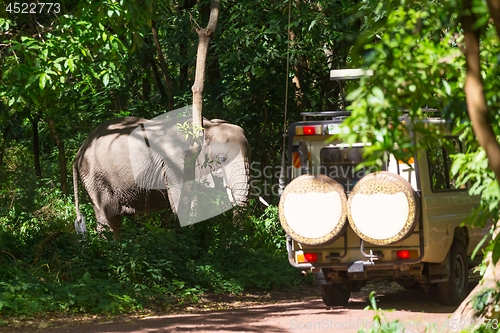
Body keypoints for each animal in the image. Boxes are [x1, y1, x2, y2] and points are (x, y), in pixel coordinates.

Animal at [72, 115, 252, 233]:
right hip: (95, 175)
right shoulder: (176, 162)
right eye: (222, 159)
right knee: (110, 215)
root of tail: (79, 152)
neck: (207, 125)